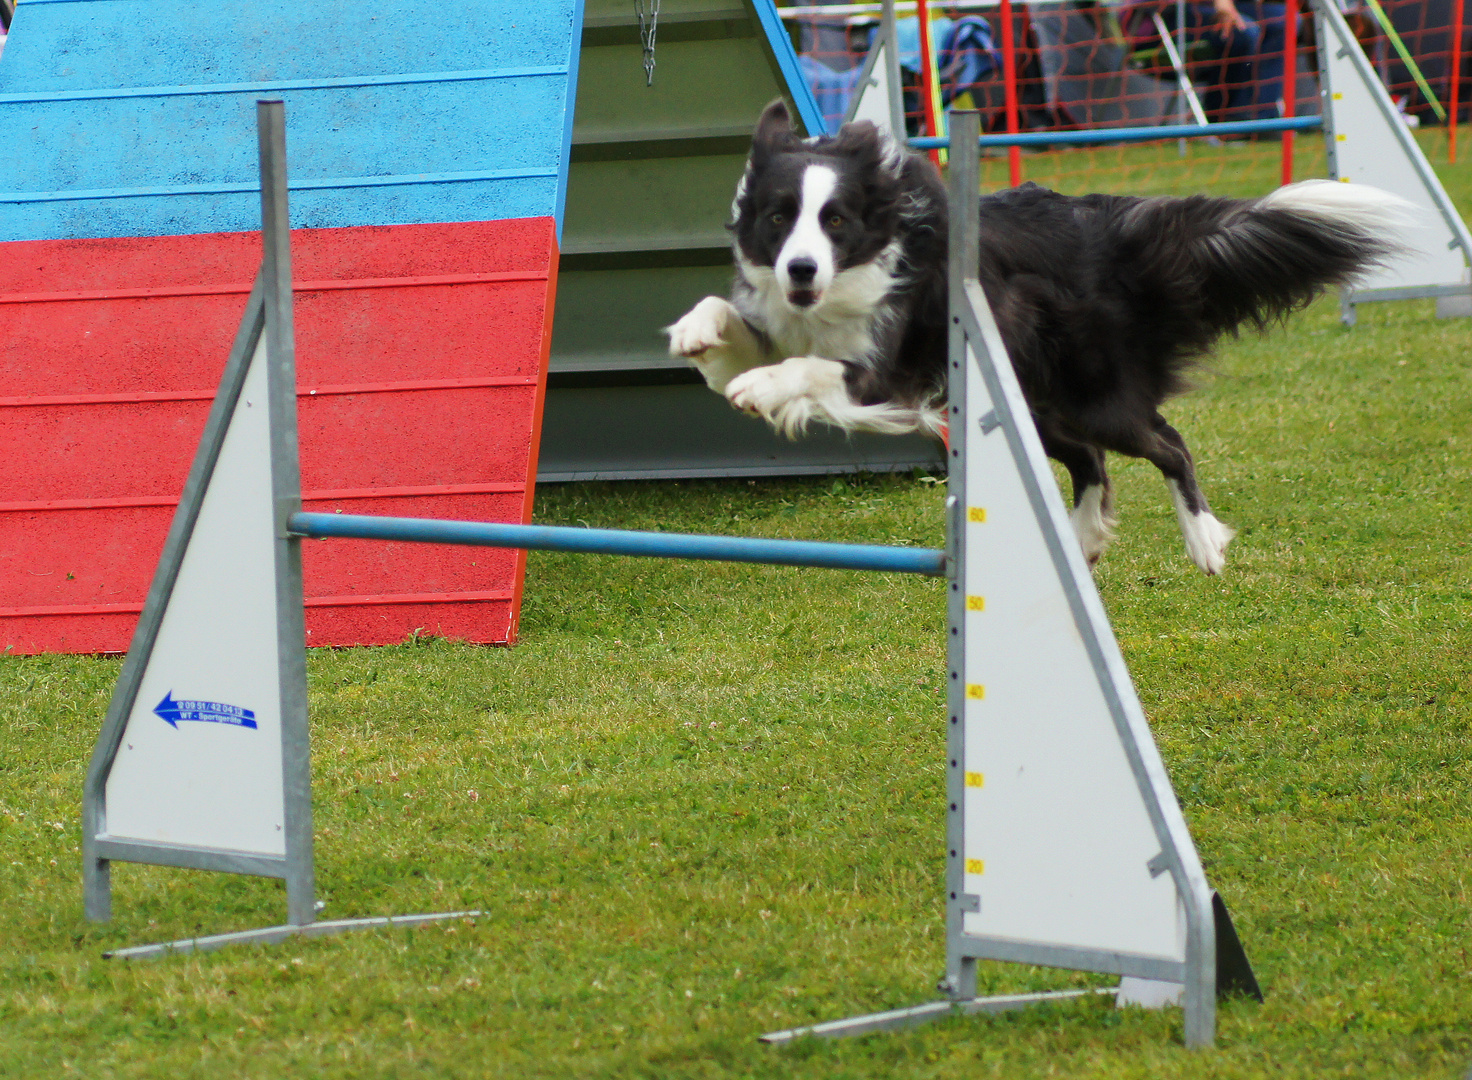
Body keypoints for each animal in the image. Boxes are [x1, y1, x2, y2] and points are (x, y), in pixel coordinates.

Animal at [668, 101, 1401, 576]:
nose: (801, 269)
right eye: (778, 217)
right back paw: (1081, 541)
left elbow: (815, 369)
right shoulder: (788, 319)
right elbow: (735, 321)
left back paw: (1203, 544)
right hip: (1030, 399)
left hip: (1094, 397)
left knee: (1166, 443)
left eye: (837, 220)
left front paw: (758, 387)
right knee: (1089, 461)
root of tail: (1111, 237)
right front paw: (696, 331)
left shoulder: (883, 367)